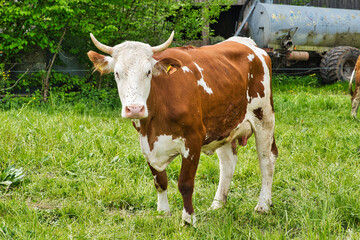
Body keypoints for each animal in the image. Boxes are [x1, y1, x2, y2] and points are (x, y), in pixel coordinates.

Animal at [87, 31, 278, 225]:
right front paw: (163, 213)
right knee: (227, 163)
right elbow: (160, 181)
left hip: (264, 118)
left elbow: (185, 184)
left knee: (267, 160)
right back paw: (218, 204)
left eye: (148, 72)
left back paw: (263, 205)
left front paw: (188, 219)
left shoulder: (193, 140)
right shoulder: (146, 143)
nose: (134, 109)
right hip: (225, 125)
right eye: (117, 73)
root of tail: (247, 42)